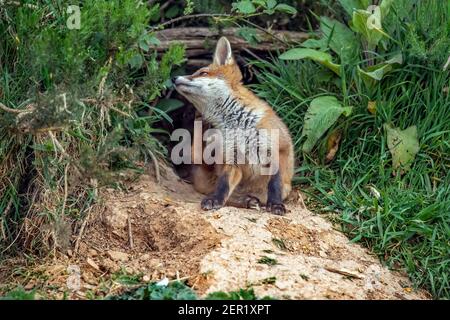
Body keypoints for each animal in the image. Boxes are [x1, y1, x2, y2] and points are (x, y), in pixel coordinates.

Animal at [172, 37, 296, 215]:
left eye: (203, 73)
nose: (174, 78)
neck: (239, 125)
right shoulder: (232, 159)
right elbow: (223, 186)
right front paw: (215, 200)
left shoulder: (278, 151)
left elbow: (275, 185)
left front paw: (276, 205)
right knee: (230, 196)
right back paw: (246, 201)